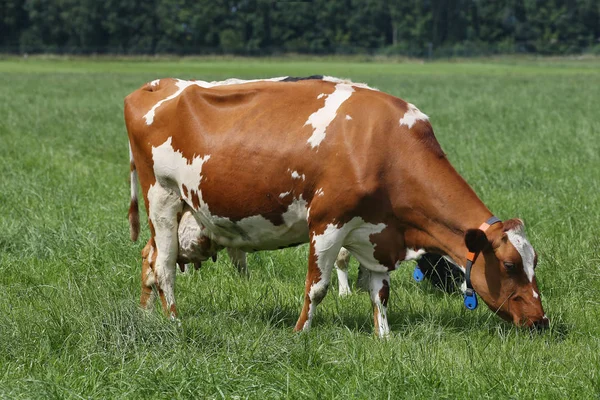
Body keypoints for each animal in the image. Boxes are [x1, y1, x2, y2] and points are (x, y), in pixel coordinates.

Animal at [126, 76, 548, 338]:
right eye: (510, 266)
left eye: (534, 263)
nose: (541, 321)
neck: (386, 148)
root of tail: (154, 86)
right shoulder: (328, 224)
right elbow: (317, 287)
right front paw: (300, 333)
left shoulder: (377, 232)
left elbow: (380, 291)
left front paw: (384, 336)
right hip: (162, 198)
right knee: (164, 266)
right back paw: (173, 321)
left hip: (181, 212)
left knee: (149, 257)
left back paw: (146, 315)